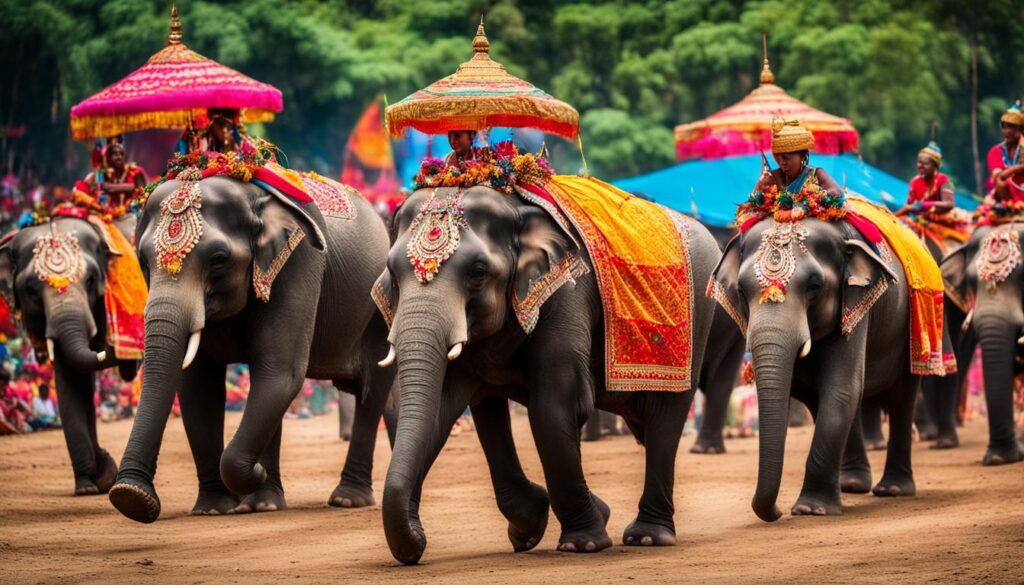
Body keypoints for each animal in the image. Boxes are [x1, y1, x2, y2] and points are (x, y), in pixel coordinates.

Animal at [108, 174, 395, 523]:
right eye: (143, 261)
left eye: (218, 259)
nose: (126, 494)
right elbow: (199, 385)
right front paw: (213, 509)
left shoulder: (300, 262)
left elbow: (280, 371)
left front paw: (253, 475)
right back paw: (264, 503)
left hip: (378, 313)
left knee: (371, 394)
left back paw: (346, 500)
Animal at [374, 184, 723, 564]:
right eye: (392, 271)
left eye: (478, 272)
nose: (419, 543)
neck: (515, 209)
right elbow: (442, 411)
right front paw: (536, 527)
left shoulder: (569, 295)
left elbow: (555, 407)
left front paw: (582, 544)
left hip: (694, 327)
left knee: (665, 418)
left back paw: (647, 537)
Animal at [710, 217, 925, 521]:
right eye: (740, 290)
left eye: (814, 286)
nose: (776, 512)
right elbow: (816, 395)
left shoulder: (856, 310)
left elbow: (841, 388)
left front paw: (811, 509)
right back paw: (852, 484)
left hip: (909, 332)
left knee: (902, 399)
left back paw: (893, 490)